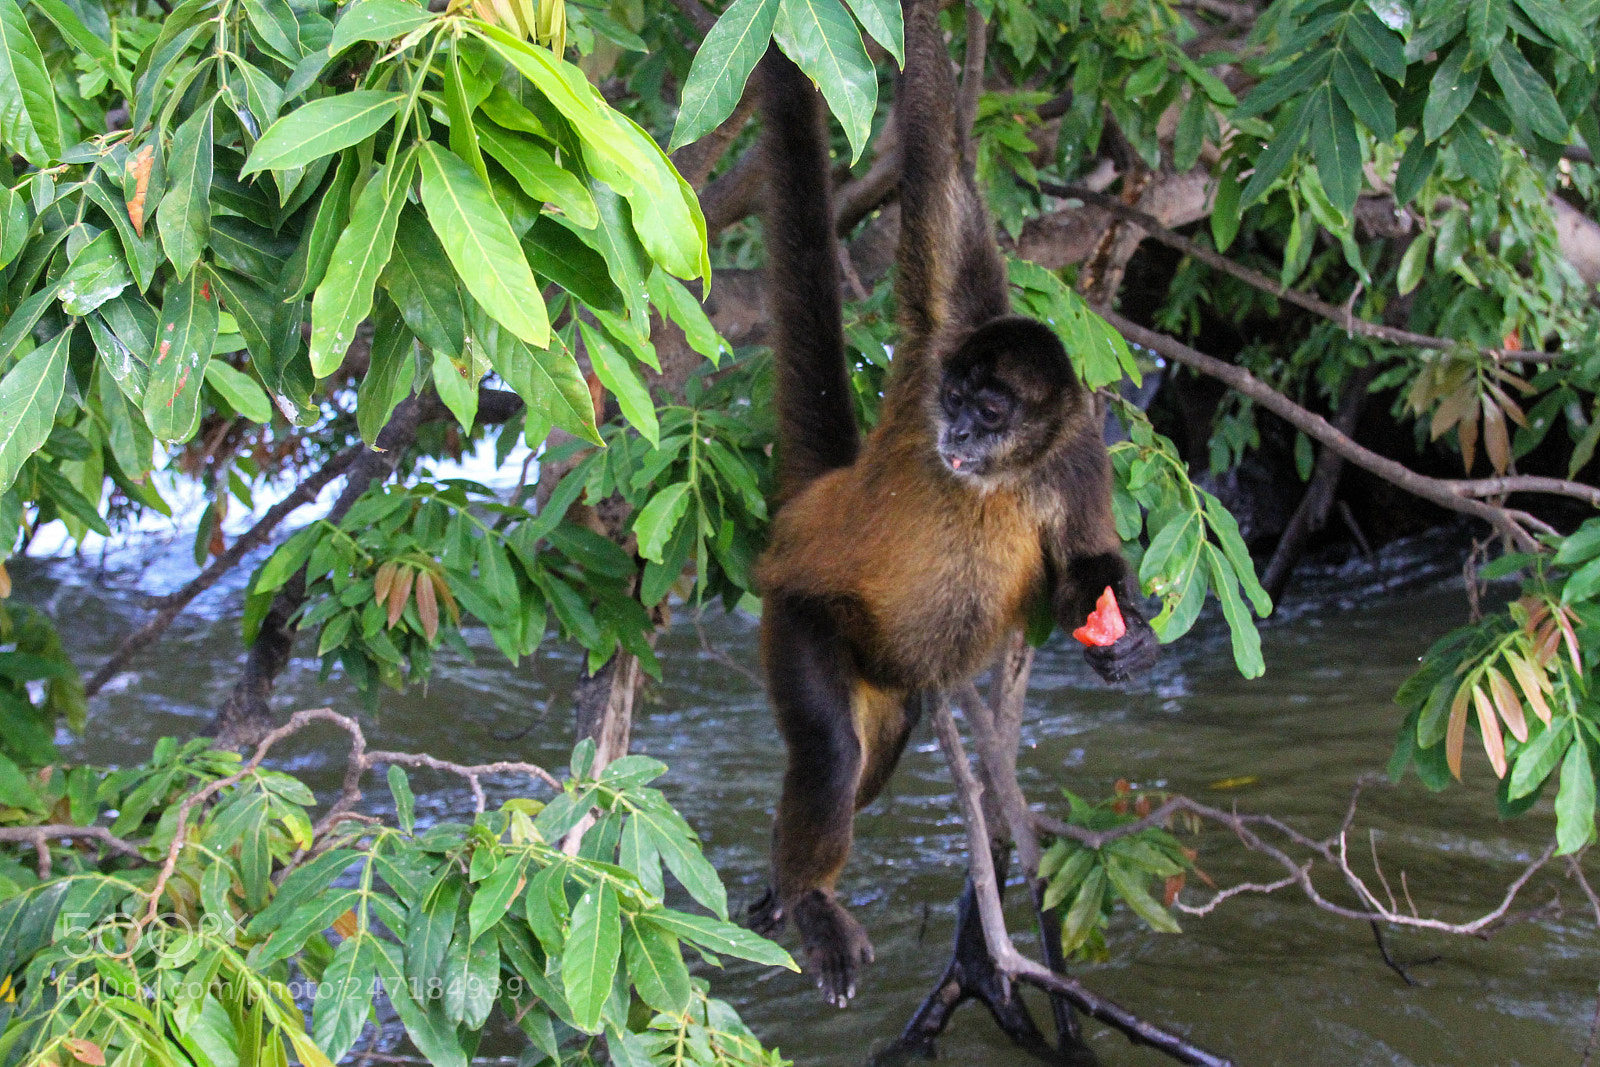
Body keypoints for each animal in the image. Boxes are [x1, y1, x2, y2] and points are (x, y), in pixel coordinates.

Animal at [746, 0, 1160, 1007]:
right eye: (958, 395)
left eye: (993, 407)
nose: (955, 428)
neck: (1002, 474)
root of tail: (814, 507)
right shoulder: (947, 322)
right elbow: (937, 160)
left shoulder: (1075, 453)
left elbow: (1080, 566)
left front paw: (1124, 634)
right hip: (802, 609)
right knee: (832, 751)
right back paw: (809, 897)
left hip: (887, 680)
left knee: (874, 751)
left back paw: (778, 887)